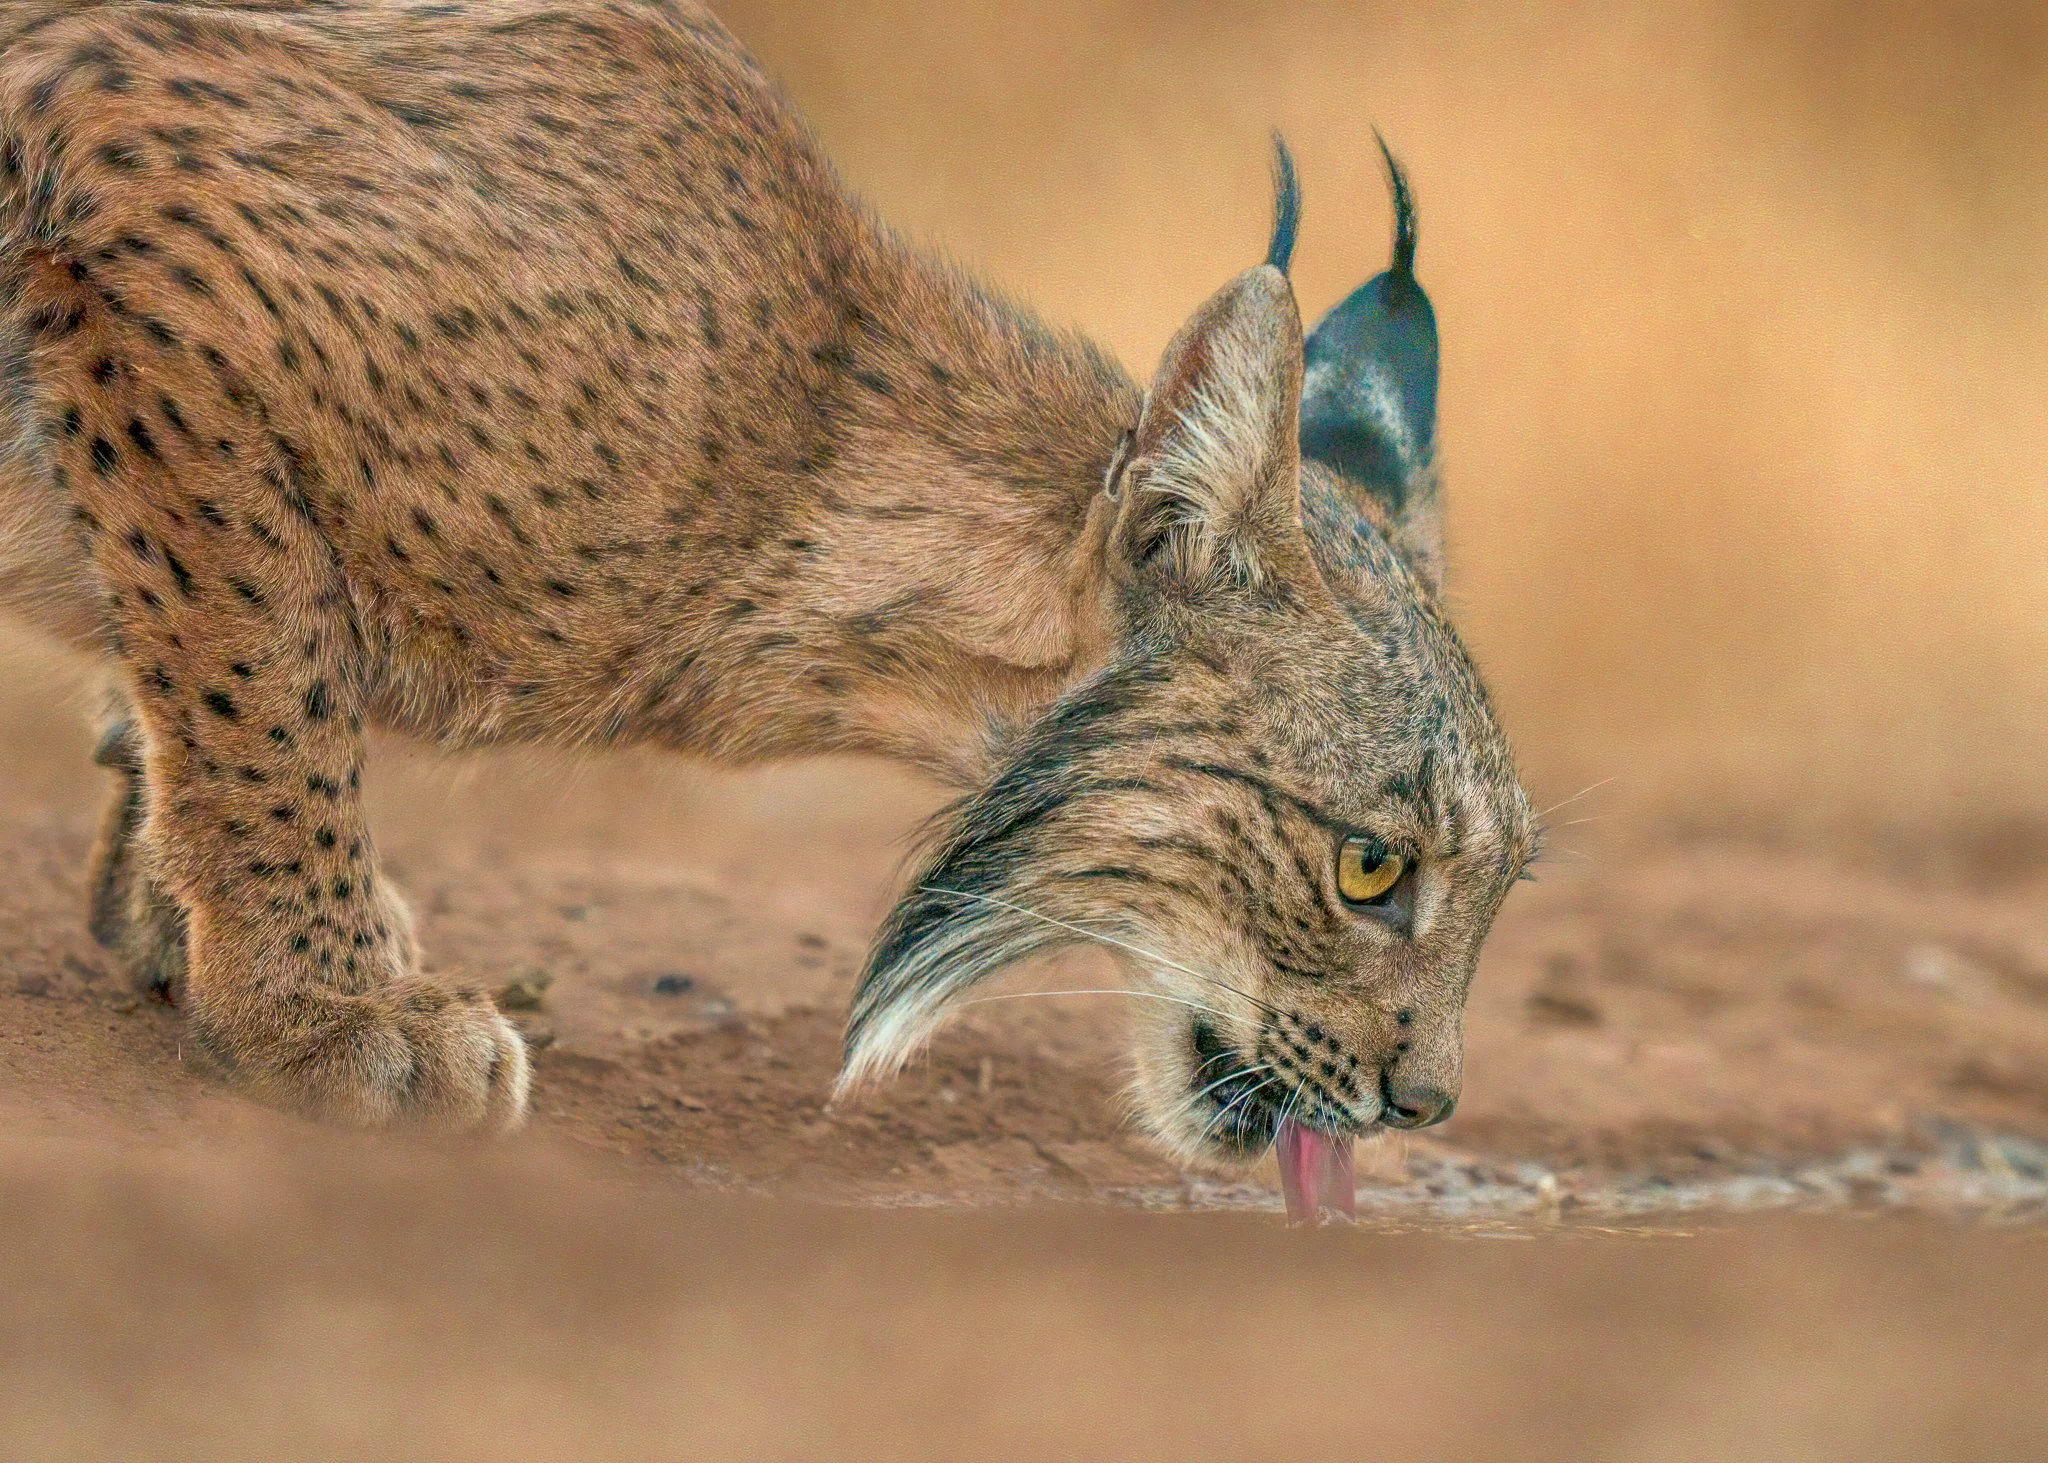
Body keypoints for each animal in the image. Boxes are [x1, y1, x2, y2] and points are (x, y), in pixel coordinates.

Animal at [0, 0, 1536, 1165]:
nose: (1425, 1104)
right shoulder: (162, 198)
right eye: (1370, 866)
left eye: (1501, 884)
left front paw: (184, 919)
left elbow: (204, 673)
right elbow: (266, 691)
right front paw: (315, 1012)